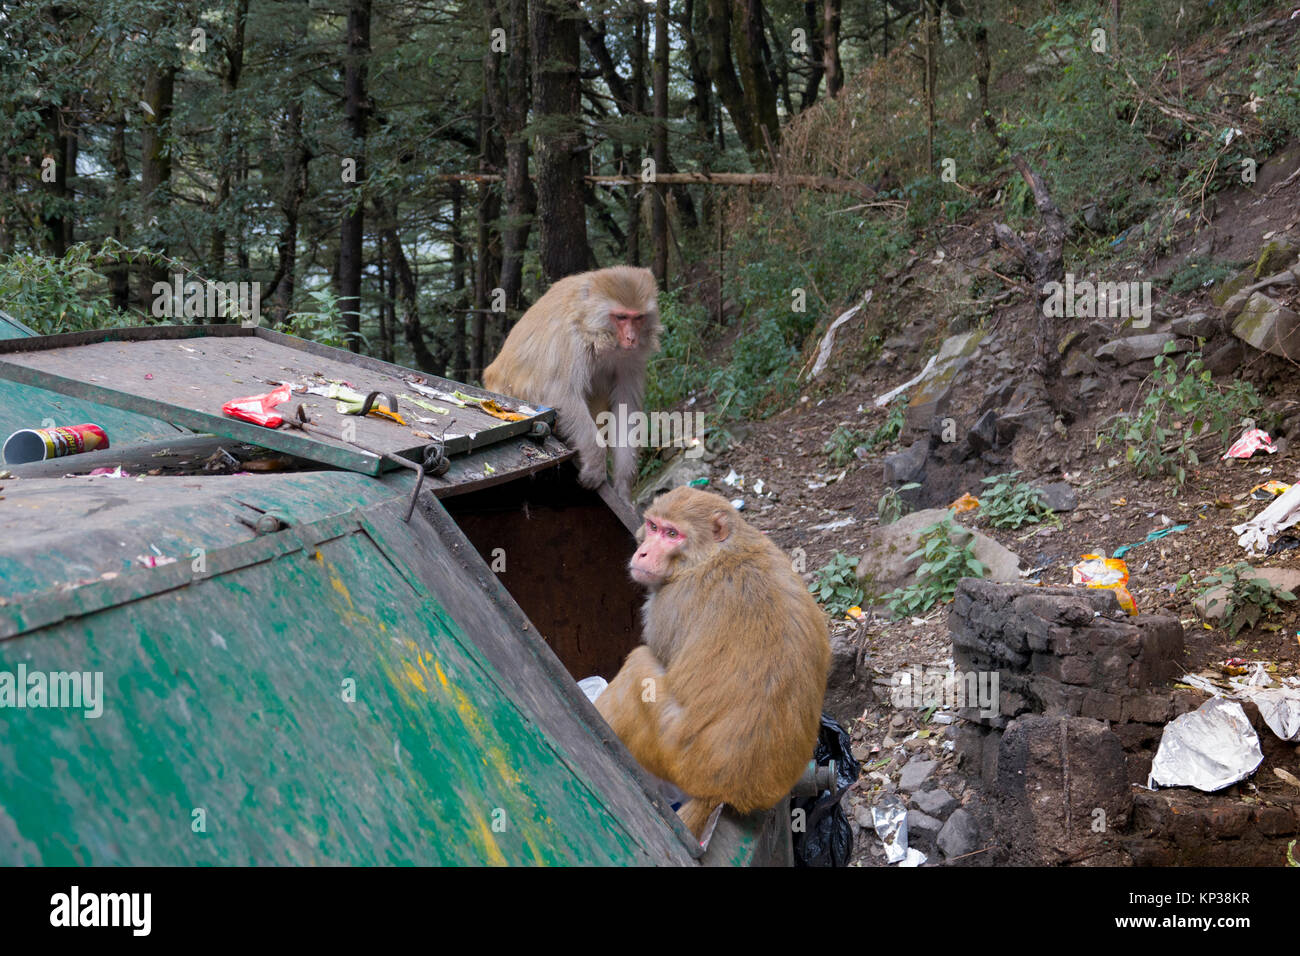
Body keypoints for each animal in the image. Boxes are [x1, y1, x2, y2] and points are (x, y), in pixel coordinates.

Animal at [483, 266, 660, 500]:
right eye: (621, 317)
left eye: (638, 318)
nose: (631, 338)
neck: (595, 331)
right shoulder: (570, 340)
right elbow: (561, 395)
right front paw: (596, 463)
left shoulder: (631, 358)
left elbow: (625, 409)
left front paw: (623, 488)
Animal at [594, 487, 831, 839]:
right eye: (653, 526)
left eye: (672, 534)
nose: (643, 554)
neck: (717, 552)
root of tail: (728, 791)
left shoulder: (669, 603)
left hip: (673, 751)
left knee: (638, 667)